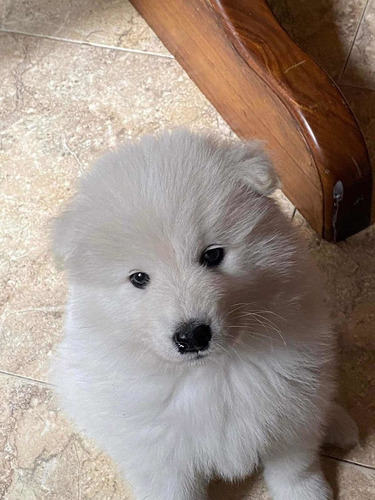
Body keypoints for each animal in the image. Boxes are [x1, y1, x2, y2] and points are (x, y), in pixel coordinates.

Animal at [52, 130, 358, 500]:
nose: (191, 336)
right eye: (139, 278)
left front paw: (306, 493)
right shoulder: (162, 456)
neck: (213, 371)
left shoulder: (288, 414)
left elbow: (295, 467)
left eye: (212, 255)